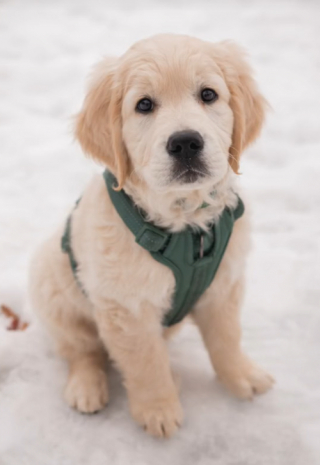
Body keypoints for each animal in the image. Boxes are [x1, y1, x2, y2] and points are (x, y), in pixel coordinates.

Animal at [29, 34, 272, 436]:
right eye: (144, 105)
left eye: (208, 95)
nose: (186, 142)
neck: (186, 224)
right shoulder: (126, 306)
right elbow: (145, 361)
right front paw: (158, 410)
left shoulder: (224, 285)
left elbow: (226, 338)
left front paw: (242, 377)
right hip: (52, 284)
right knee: (82, 350)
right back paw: (86, 388)